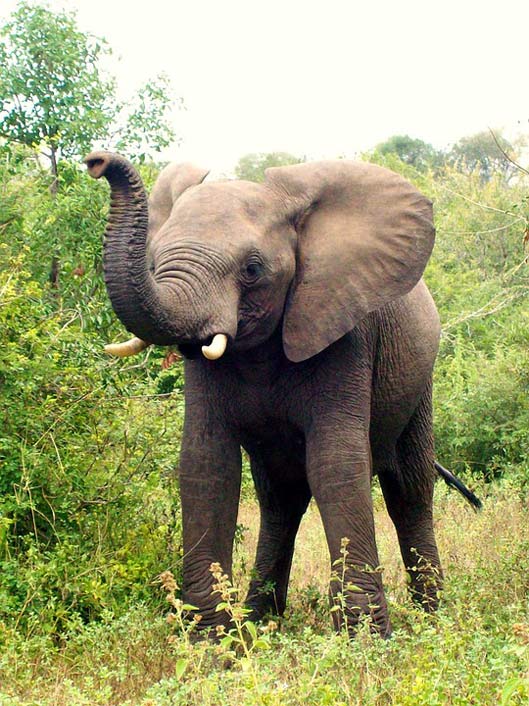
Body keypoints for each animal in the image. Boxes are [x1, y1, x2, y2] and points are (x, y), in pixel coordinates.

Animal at [85, 153, 470, 640]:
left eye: (252, 269)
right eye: (153, 261)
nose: (97, 163)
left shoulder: (344, 331)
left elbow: (335, 463)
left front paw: (365, 641)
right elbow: (206, 464)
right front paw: (213, 642)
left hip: (419, 383)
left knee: (409, 490)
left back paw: (432, 622)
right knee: (281, 499)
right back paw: (260, 621)